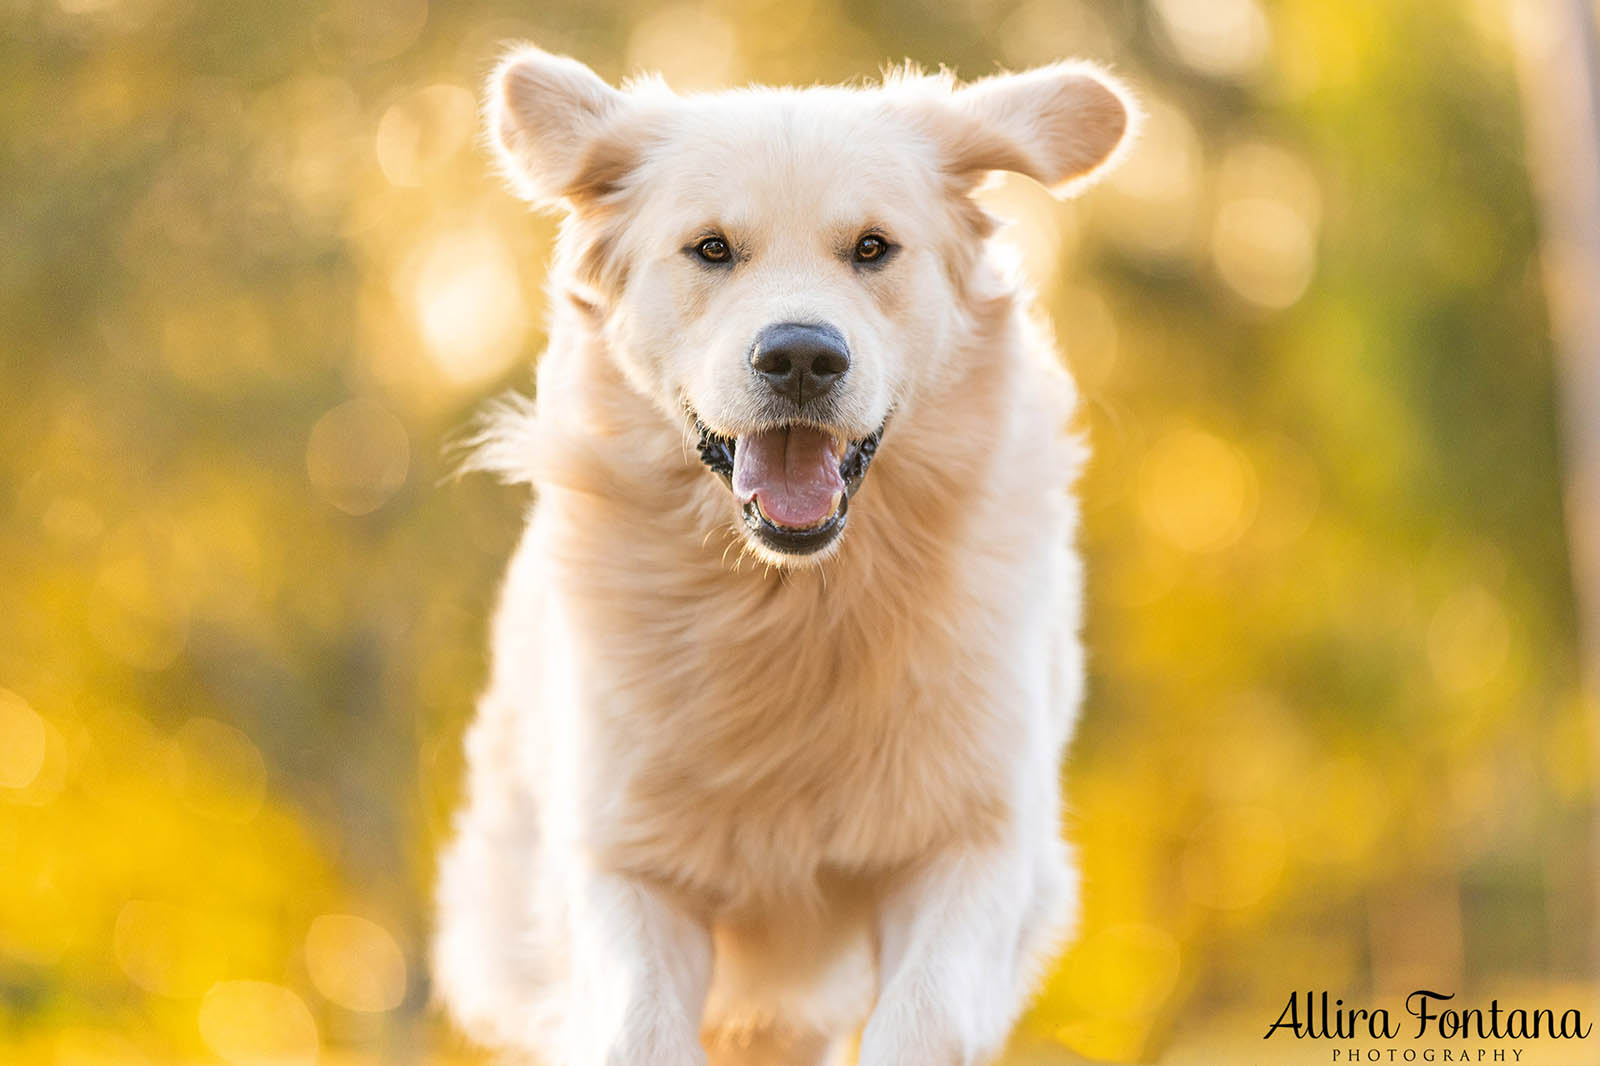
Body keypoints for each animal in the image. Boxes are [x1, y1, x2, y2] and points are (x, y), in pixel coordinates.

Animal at [438, 43, 1139, 1062]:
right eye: (712, 248)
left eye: (873, 248)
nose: (802, 356)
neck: (794, 604)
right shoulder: (625, 863)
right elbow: (639, 1028)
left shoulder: (976, 843)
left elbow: (922, 1019)